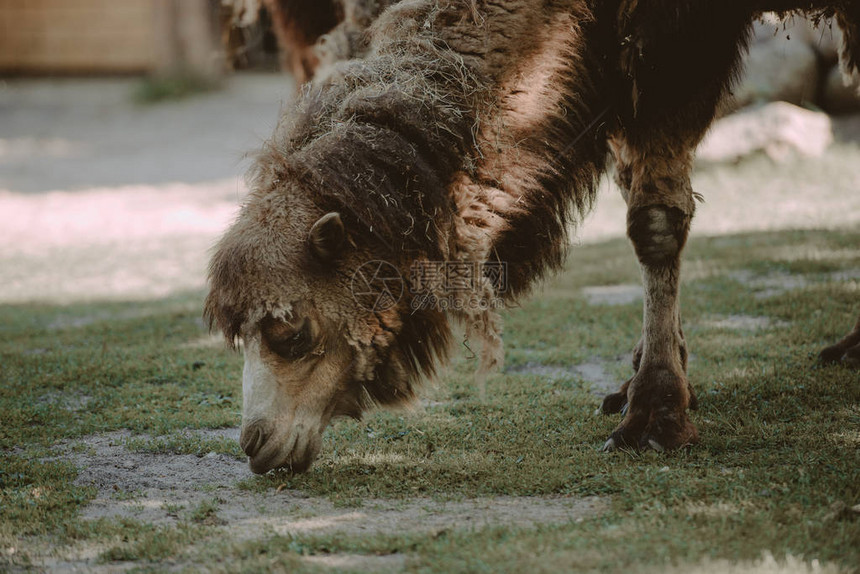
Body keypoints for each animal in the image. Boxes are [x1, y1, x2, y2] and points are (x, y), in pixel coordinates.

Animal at [205, 0, 856, 474]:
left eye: (292, 332)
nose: (255, 444)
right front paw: (644, 381)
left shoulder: (682, 32)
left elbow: (656, 223)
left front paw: (654, 416)